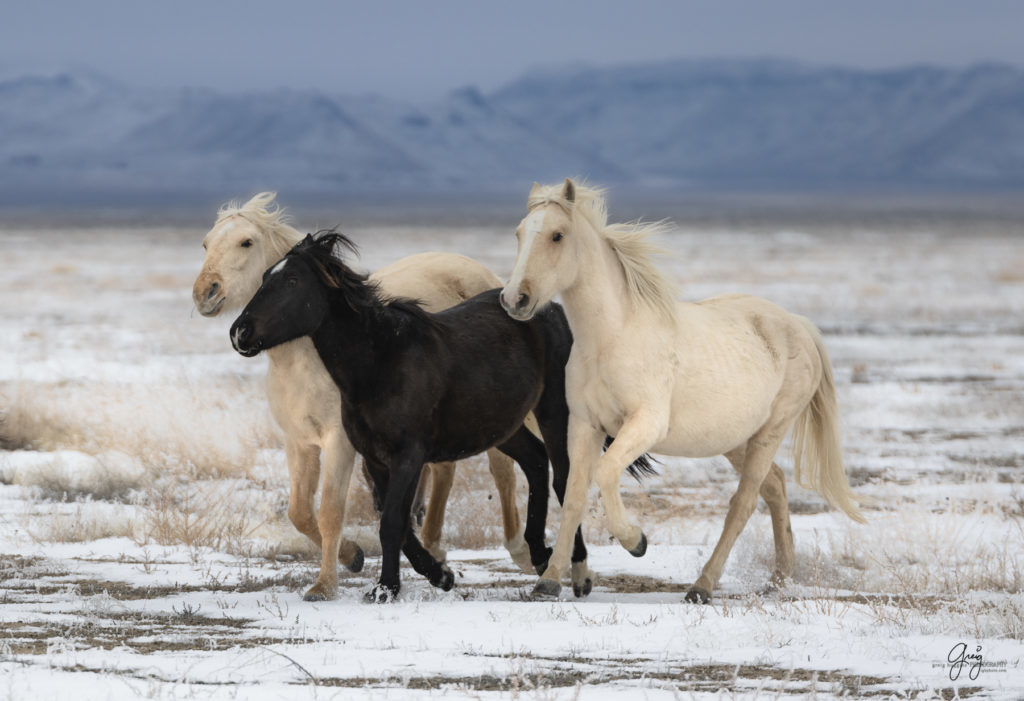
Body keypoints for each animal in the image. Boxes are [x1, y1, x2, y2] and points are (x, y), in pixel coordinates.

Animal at [190, 191, 536, 597]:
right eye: (206, 243)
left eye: (246, 242)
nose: (205, 293)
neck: (306, 361)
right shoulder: (300, 442)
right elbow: (300, 513)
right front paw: (354, 556)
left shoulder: (340, 441)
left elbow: (330, 511)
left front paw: (325, 586)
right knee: (444, 470)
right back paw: (436, 550)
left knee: (502, 469)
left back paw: (520, 552)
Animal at [230, 233, 647, 601]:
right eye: (265, 277)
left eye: (293, 281)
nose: (240, 333)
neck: (382, 362)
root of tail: (552, 310)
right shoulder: (375, 458)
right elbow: (395, 523)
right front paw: (439, 575)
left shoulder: (408, 455)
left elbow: (393, 522)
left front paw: (385, 590)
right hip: (500, 426)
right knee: (535, 462)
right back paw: (539, 554)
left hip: (555, 414)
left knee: (565, 478)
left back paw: (573, 572)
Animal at [499, 180, 868, 601]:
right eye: (519, 233)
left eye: (557, 235)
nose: (514, 299)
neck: (611, 338)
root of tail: (797, 324)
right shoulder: (584, 425)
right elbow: (574, 494)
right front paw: (549, 580)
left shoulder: (645, 424)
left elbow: (606, 473)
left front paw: (636, 541)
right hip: (734, 439)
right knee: (774, 486)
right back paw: (779, 578)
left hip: (770, 433)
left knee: (744, 502)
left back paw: (703, 585)